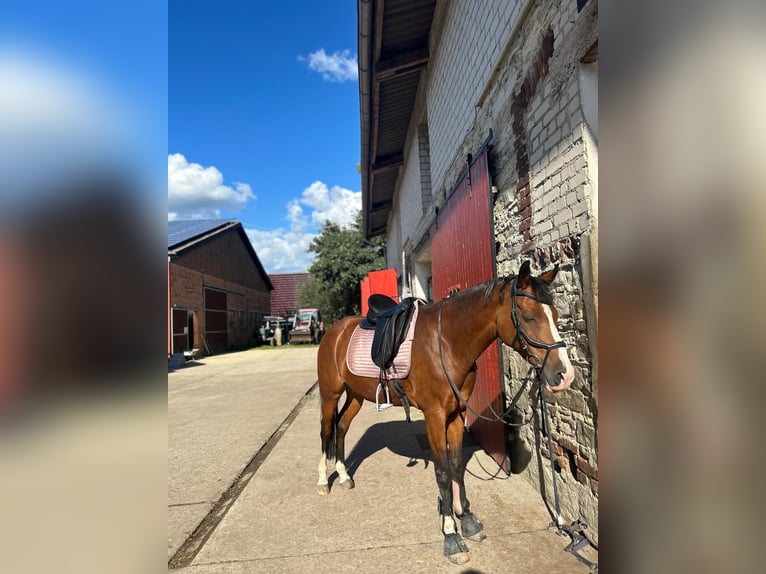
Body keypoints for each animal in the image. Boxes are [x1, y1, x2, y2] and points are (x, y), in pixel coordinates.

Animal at [316, 262, 572, 568]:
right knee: (326, 430)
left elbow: (456, 466)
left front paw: (468, 520)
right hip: (330, 394)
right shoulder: (435, 416)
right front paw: (451, 535)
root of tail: (335, 330)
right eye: (530, 317)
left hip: (356, 394)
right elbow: (441, 473)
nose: (565, 375)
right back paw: (323, 481)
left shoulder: (457, 414)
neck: (447, 343)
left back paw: (344, 476)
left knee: (342, 426)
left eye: (555, 315)